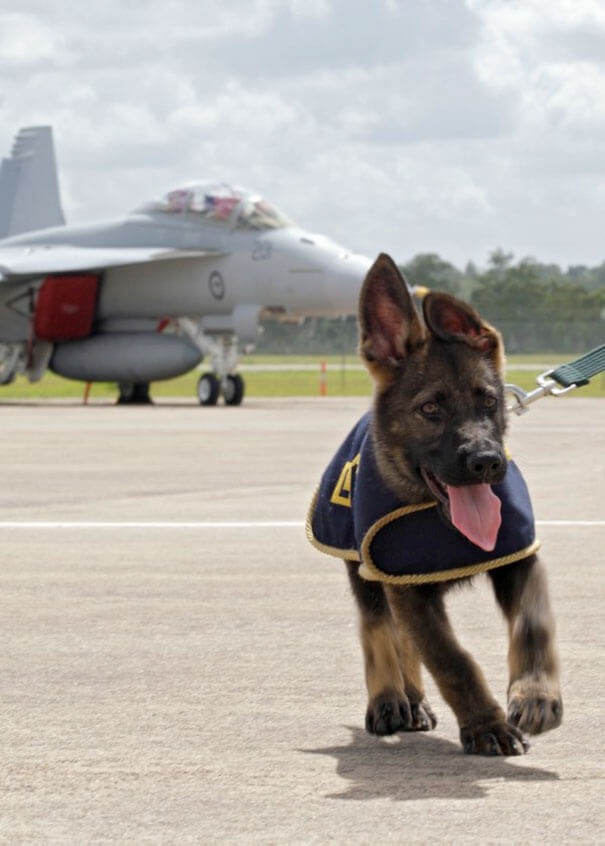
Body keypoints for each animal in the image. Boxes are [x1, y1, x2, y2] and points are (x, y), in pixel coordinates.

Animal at [350, 255, 560, 760]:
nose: (487, 462)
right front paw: (487, 725)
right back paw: (389, 699)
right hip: (363, 573)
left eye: (489, 400)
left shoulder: (518, 559)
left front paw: (536, 696)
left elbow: (533, 624)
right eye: (430, 409)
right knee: (377, 630)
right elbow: (450, 658)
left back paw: (414, 702)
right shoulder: (404, 586)